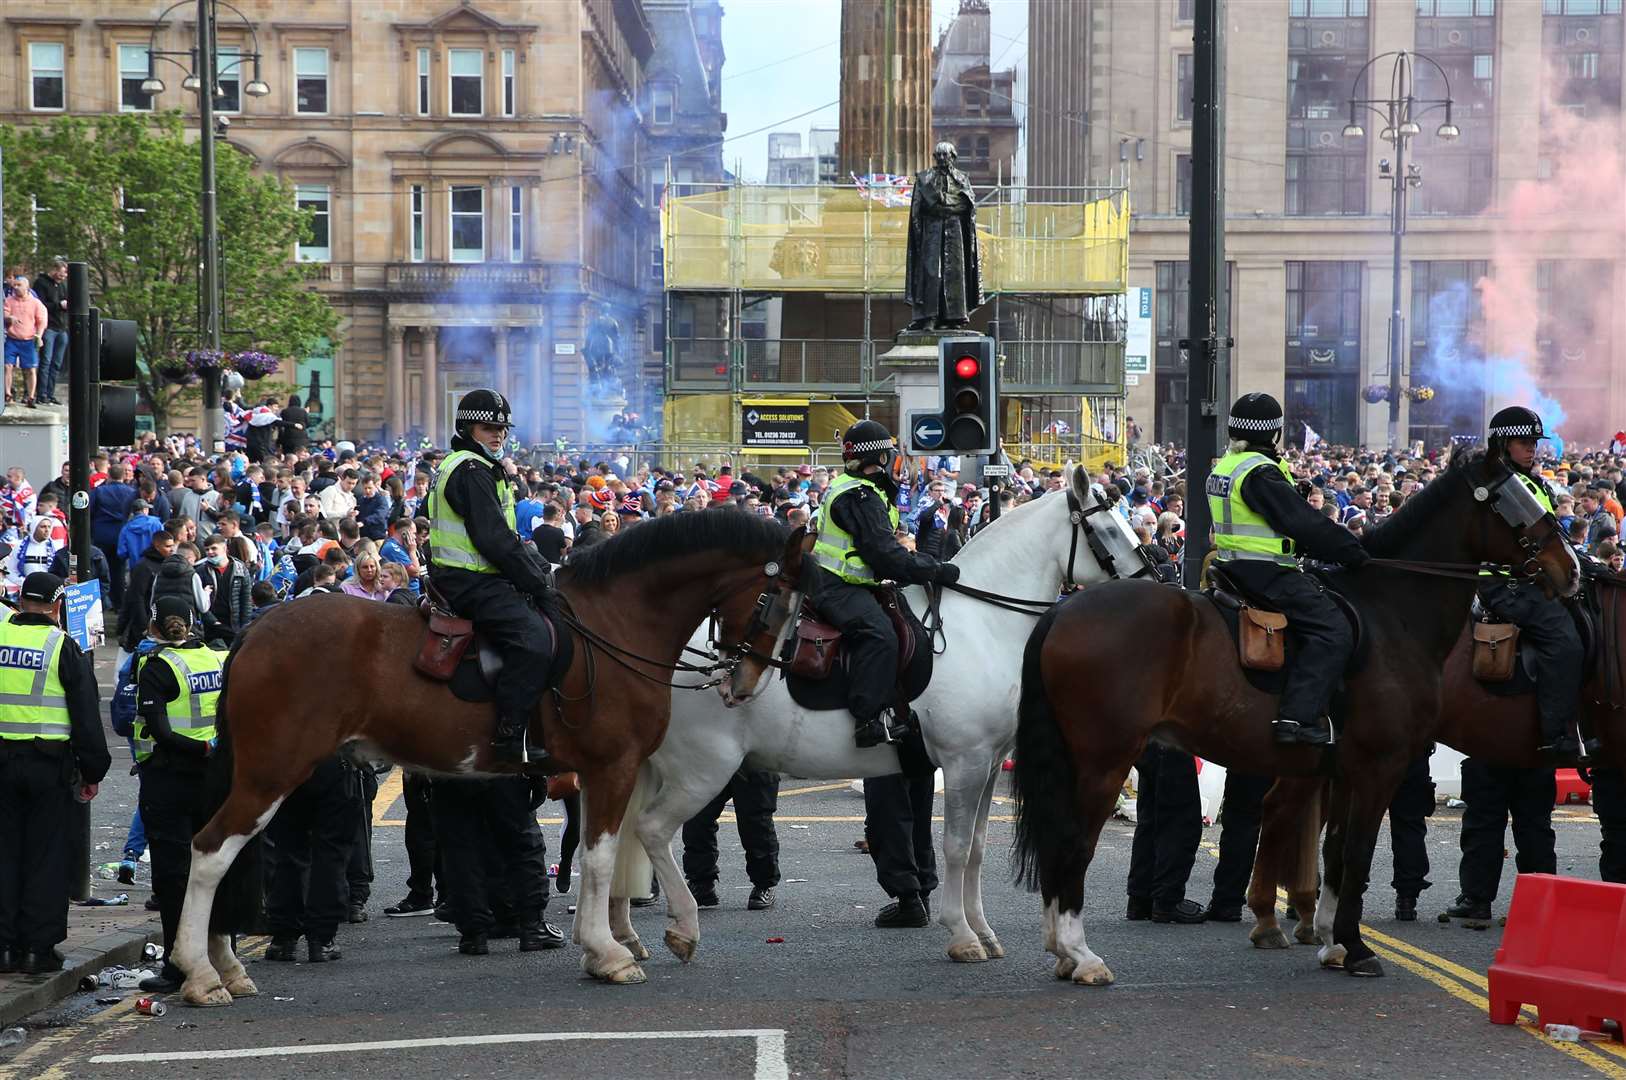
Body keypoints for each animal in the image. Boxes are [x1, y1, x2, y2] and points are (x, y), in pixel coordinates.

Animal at [171, 513, 806, 1001]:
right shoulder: (612, 767)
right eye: (778, 605)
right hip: (272, 772)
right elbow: (601, 860)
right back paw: (200, 973)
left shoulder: (605, 774)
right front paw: (609, 954)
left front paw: (605, 944)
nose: (746, 684)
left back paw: (226, 964)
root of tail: (254, 630)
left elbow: (601, 855)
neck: (614, 624)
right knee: (210, 851)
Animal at [604, 465, 1151, 962]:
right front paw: (962, 936)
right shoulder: (964, 762)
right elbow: (955, 847)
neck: (982, 624)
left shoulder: (989, 764)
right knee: (652, 830)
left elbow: (976, 848)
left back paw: (622, 938)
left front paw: (983, 931)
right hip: (703, 768)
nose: (1155, 580)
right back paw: (680, 927)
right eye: (1107, 529)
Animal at [1008, 448, 1580, 988]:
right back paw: (1081, 954)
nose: (1570, 569)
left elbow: (1337, 851)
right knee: (1074, 840)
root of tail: (1063, 610)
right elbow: (1358, 852)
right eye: (1515, 500)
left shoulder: (1342, 769)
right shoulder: (1382, 765)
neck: (1391, 614)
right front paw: (1357, 947)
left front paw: (1333, 941)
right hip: (1104, 760)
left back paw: (1063, 950)